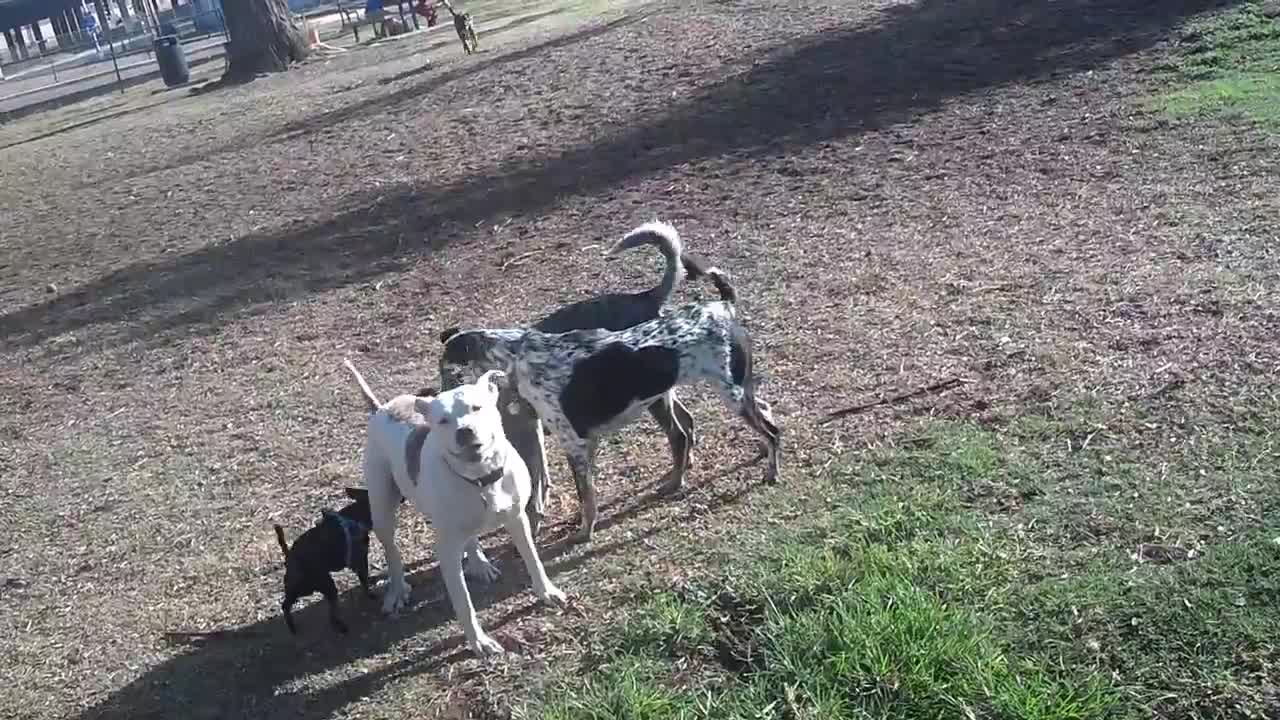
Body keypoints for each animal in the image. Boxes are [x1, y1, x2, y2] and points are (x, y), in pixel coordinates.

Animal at [268, 484, 373, 630]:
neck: (354, 516)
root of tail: (289, 555)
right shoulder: (360, 560)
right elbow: (365, 581)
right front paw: (370, 592)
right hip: (319, 585)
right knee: (329, 610)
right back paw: (339, 625)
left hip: (303, 587)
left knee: (286, 604)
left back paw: (292, 626)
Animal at [340, 356, 565, 653]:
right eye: (443, 421)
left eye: (476, 407)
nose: (465, 431)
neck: (481, 480)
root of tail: (382, 409)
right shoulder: (447, 552)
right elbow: (464, 603)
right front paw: (479, 642)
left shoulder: (518, 520)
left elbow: (534, 560)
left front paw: (547, 592)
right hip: (382, 509)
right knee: (392, 550)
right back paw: (397, 589)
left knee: (469, 537)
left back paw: (479, 563)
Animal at [437, 221, 721, 530]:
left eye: (447, 375)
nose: (437, 396)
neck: (510, 357)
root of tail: (646, 296)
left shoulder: (544, 437)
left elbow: (548, 487)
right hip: (660, 393)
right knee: (687, 423)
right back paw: (684, 465)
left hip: (653, 398)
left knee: (678, 433)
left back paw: (676, 477)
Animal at [440, 270, 778, 543]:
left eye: (446, 372)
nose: (437, 399)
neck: (519, 357)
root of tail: (723, 306)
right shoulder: (587, 444)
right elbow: (588, 495)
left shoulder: (574, 445)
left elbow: (585, 497)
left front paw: (583, 533)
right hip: (732, 393)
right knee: (757, 414)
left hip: (731, 396)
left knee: (770, 432)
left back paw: (771, 472)